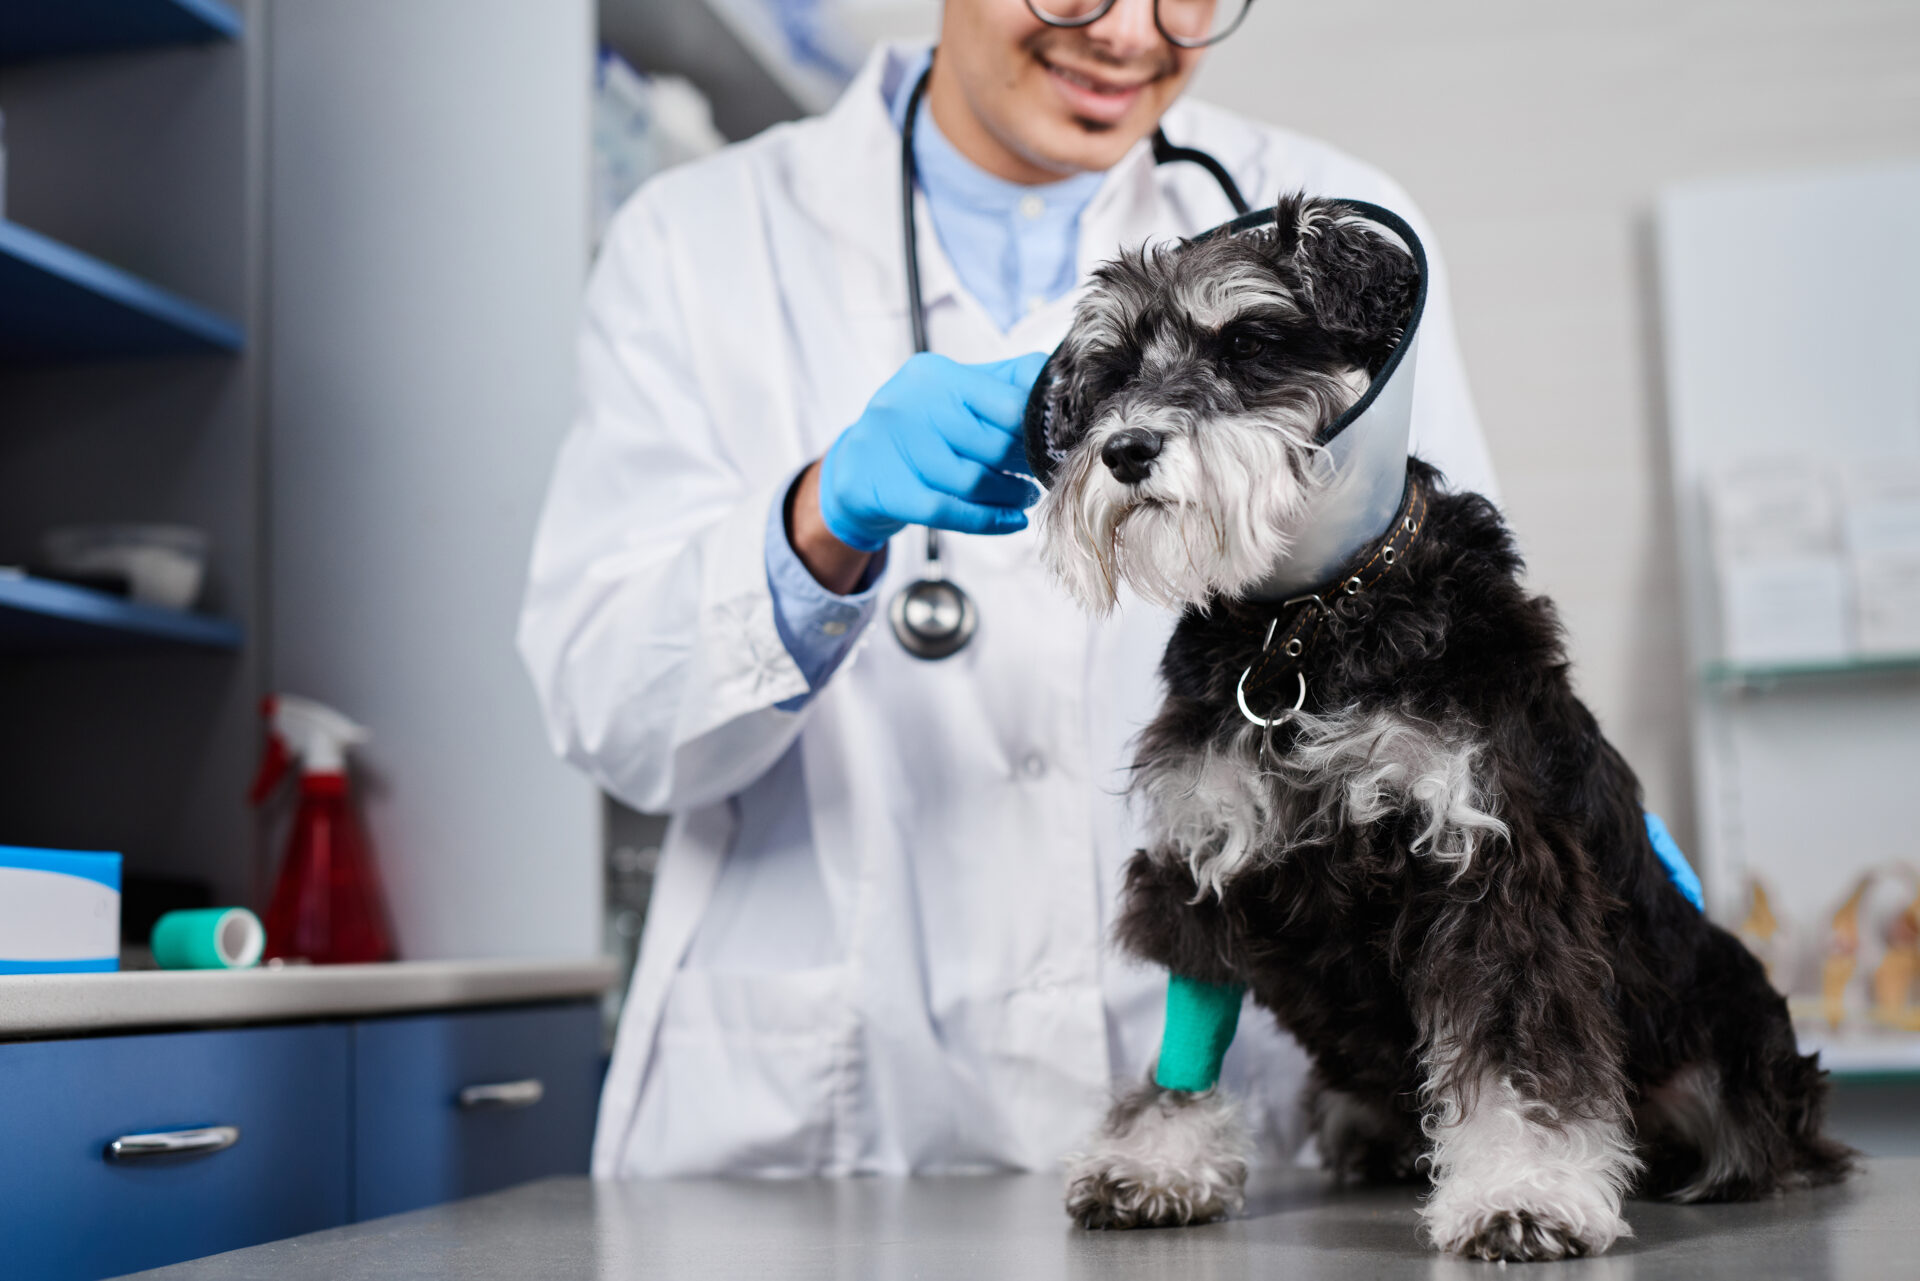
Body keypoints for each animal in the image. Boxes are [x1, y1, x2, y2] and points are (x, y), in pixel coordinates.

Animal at [1029, 195, 1850, 1267]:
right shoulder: (1208, 862)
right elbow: (1188, 1038)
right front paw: (1157, 1160)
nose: (1126, 450)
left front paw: (1524, 1192)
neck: (1306, 624)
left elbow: (1513, 1049)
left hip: (1731, 1033)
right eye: (1115, 370)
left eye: (1249, 342)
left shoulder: (1489, 862)